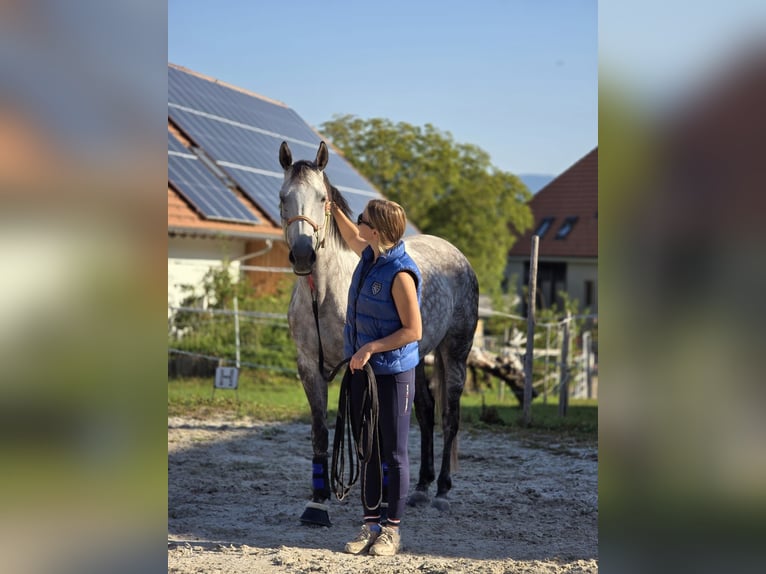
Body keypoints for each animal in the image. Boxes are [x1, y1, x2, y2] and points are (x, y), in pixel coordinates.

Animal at [278, 140, 479, 526]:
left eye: (321, 198)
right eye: (283, 197)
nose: (303, 256)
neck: (324, 293)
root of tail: (458, 256)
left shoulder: (359, 367)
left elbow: (368, 433)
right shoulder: (308, 366)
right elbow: (320, 432)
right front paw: (318, 503)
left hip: (455, 354)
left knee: (450, 417)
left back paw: (442, 492)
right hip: (416, 359)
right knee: (426, 413)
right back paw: (420, 489)